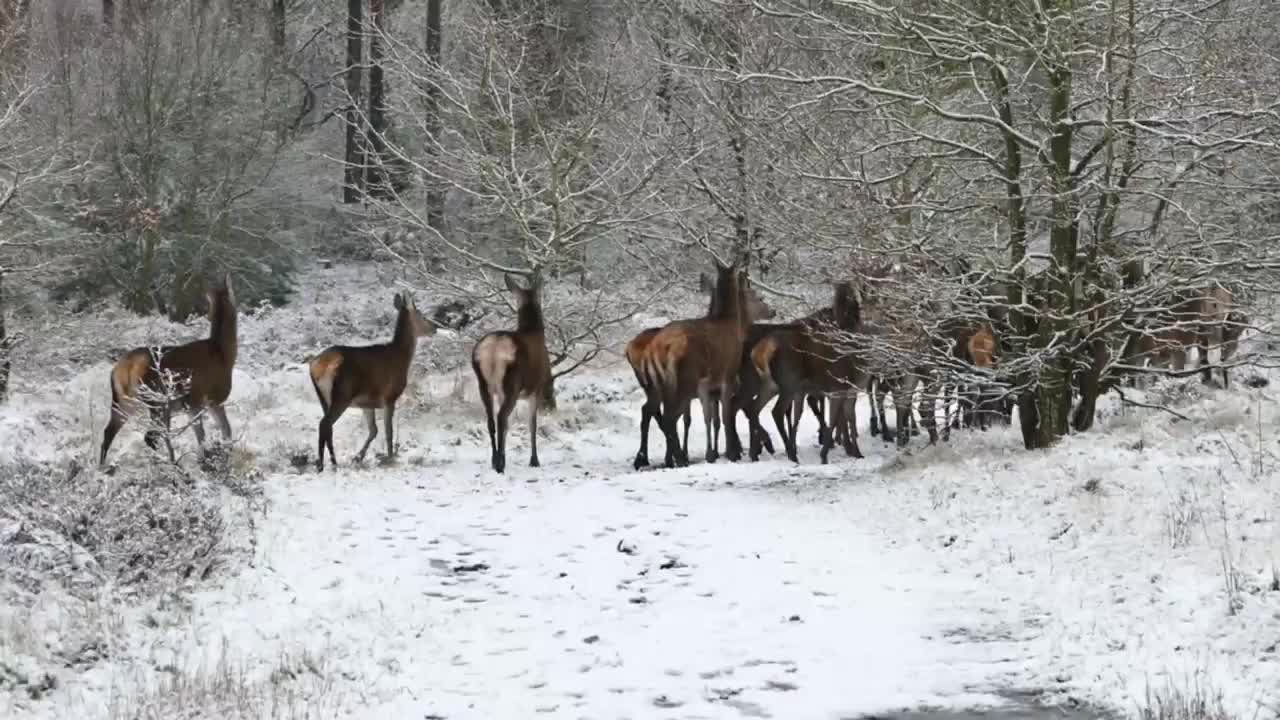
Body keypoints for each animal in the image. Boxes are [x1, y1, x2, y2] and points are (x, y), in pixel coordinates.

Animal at [100, 271, 240, 461]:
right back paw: (170, 462)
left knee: (109, 432)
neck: (223, 353)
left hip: (123, 400)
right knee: (151, 436)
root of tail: (124, 368)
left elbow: (204, 435)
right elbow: (223, 431)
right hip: (156, 399)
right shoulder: (212, 398)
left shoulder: (193, 404)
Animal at [308, 288, 435, 468]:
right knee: (324, 424)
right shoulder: (389, 396)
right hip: (342, 394)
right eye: (421, 315)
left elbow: (374, 430)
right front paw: (390, 458)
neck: (402, 357)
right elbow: (388, 431)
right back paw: (327, 464)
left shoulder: (366, 403)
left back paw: (330, 462)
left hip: (323, 398)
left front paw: (358, 457)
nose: (435, 327)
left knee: (328, 427)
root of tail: (316, 366)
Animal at [471, 271, 550, 474]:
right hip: (512, 384)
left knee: (492, 420)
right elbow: (532, 424)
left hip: (484, 383)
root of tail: (493, 349)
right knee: (501, 418)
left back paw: (495, 461)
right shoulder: (537, 388)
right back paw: (499, 464)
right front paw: (534, 460)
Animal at [627, 271, 773, 468]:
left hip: (654, 387)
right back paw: (672, 457)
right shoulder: (725, 386)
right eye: (759, 297)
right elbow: (721, 416)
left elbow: (713, 418)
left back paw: (647, 458)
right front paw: (728, 450)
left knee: (650, 412)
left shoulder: (713, 392)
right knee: (664, 415)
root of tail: (631, 348)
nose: (772, 311)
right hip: (674, 386)